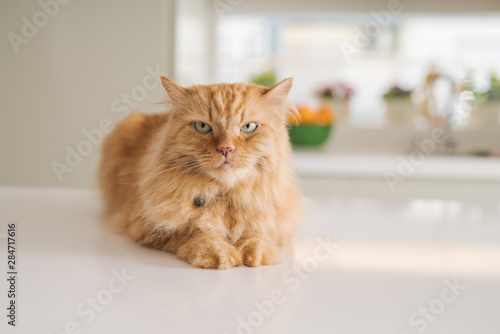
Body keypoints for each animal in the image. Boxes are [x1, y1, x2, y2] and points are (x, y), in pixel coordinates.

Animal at [97, 76, 300, 268]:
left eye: (248, 127)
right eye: (202, 127)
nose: (226, 149)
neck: (225, 199)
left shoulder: (277, 226)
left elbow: (258, 234)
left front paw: (256, 255)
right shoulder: (147, 227)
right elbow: (197, 232)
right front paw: (221, 255)